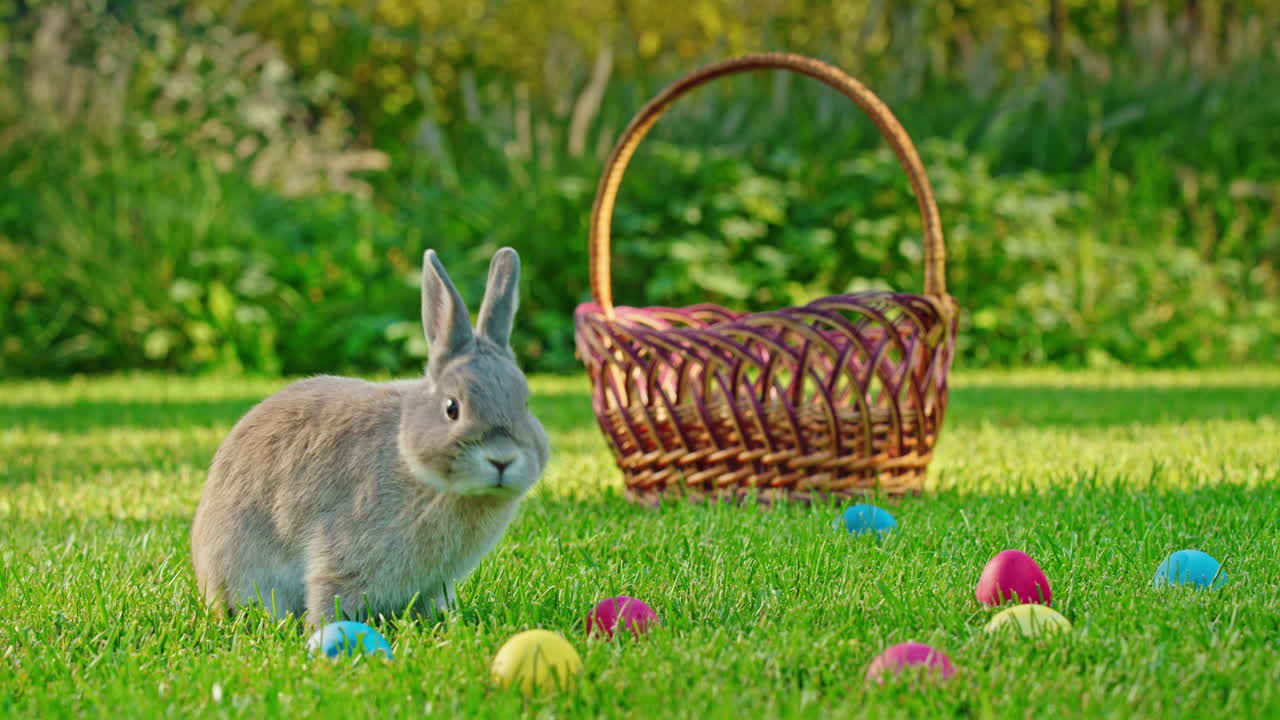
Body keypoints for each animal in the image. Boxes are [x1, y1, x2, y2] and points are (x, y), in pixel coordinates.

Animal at [190, 247, 549, 629]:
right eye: (452, 408)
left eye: (525, 404)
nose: (502, 459)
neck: (409, 459)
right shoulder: (341, 560)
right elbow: (328, 594)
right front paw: (323, 631)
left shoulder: (434, 585)